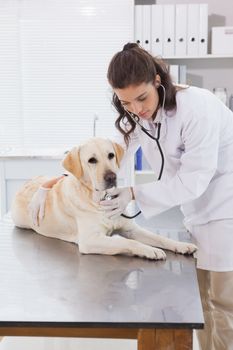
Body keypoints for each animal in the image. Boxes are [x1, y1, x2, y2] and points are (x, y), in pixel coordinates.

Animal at [11, 137, 197, 260]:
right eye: (92, 160)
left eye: (111, 155)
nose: (111, 177)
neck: (101, 199)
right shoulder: (90, 240)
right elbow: (128, 243)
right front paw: (150, 250)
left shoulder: (131, 229)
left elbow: (159, 238)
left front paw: (182, 245)